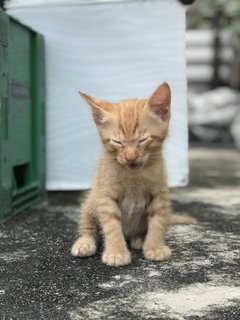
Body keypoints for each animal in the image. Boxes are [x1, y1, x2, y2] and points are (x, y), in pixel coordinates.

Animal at [71, 82, 195, 264]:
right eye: (117, 142)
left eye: (142, 140)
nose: (130, 157)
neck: (134, 176)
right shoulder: (106, 195)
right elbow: (111, 225)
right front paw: (116, 252)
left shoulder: (160, 193)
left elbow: (158, 221)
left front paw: (155, 247)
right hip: (92, 200)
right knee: (87, 227)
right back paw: (85, 243)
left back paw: (139, 239)